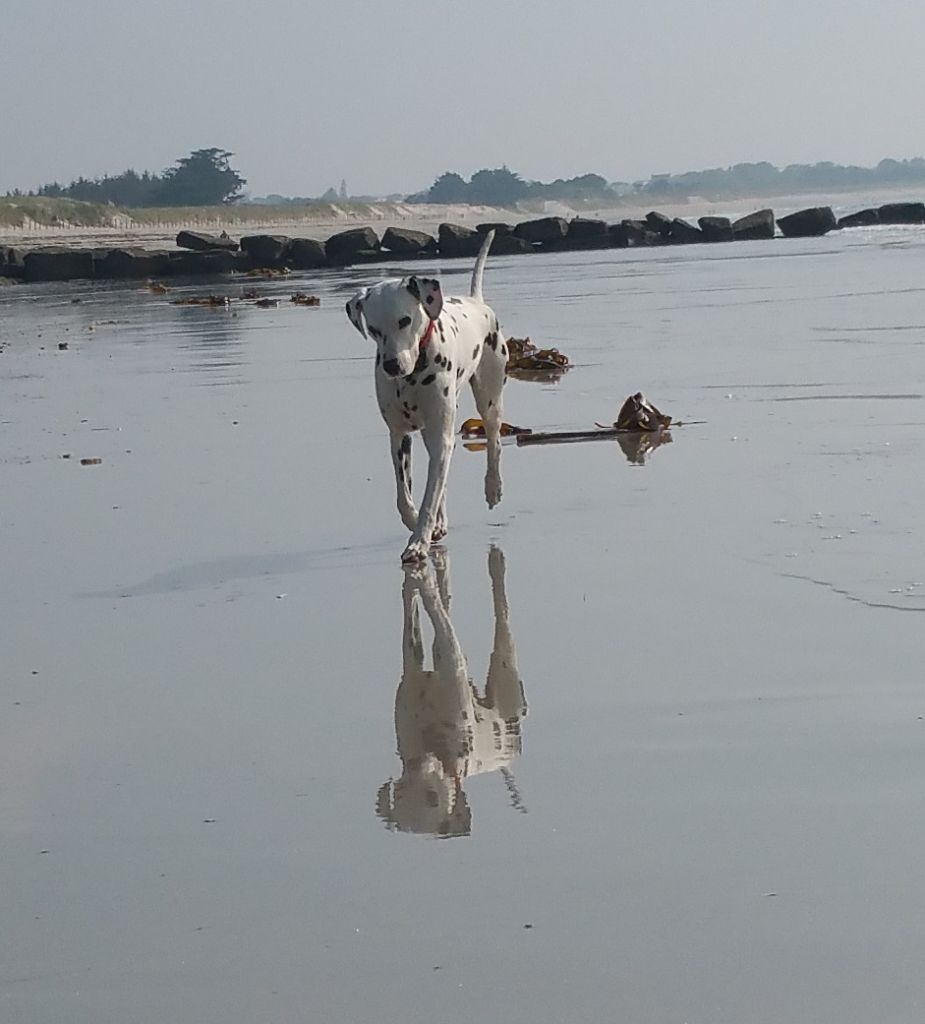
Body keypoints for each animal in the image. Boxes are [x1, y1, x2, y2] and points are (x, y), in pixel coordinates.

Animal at [346, 232, 506, 565]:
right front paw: (415, 522)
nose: (392, 365)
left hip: (489, 400)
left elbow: (430, 496)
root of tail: (477, 302)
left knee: (493, 439)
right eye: (374, 329)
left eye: (405, 321)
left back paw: (493, 487)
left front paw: (418, 541)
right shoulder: (399, 436)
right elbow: (403, 495)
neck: (413, 374)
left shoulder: (440, 436)